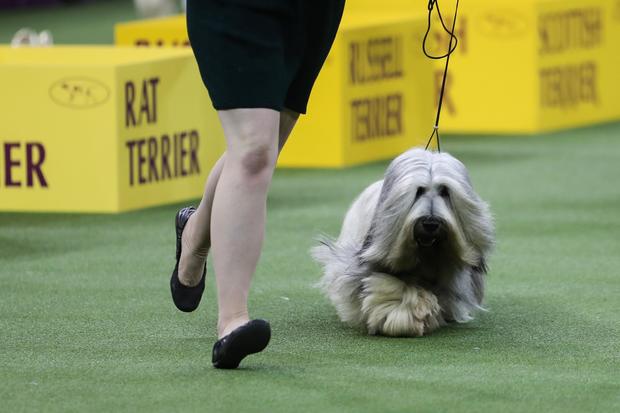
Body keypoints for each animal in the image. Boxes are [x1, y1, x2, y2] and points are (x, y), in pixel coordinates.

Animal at [312, 150, 496, 336]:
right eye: (419, 191)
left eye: (445, 191)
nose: (430, 223)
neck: (424, 254)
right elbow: (395, 290)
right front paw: (405, 317)